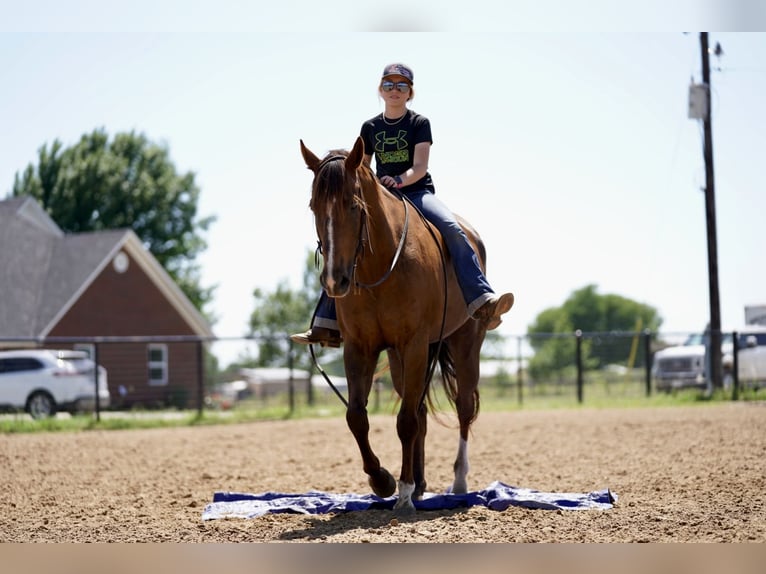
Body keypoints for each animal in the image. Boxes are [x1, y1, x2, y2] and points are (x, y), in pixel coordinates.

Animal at [300, 138, 492, 512]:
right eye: (314, 206)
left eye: (354, 205)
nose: (334, 281)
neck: (381, 267)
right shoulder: (360, 347)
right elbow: (357, 417)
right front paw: (384, 481)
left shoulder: (414, 344)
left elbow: (405, 422)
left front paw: (401, 491)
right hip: (404, 357)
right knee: (421, 412)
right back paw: (419, 485)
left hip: (463, 343)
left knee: (463, 408)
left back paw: (457, 482)